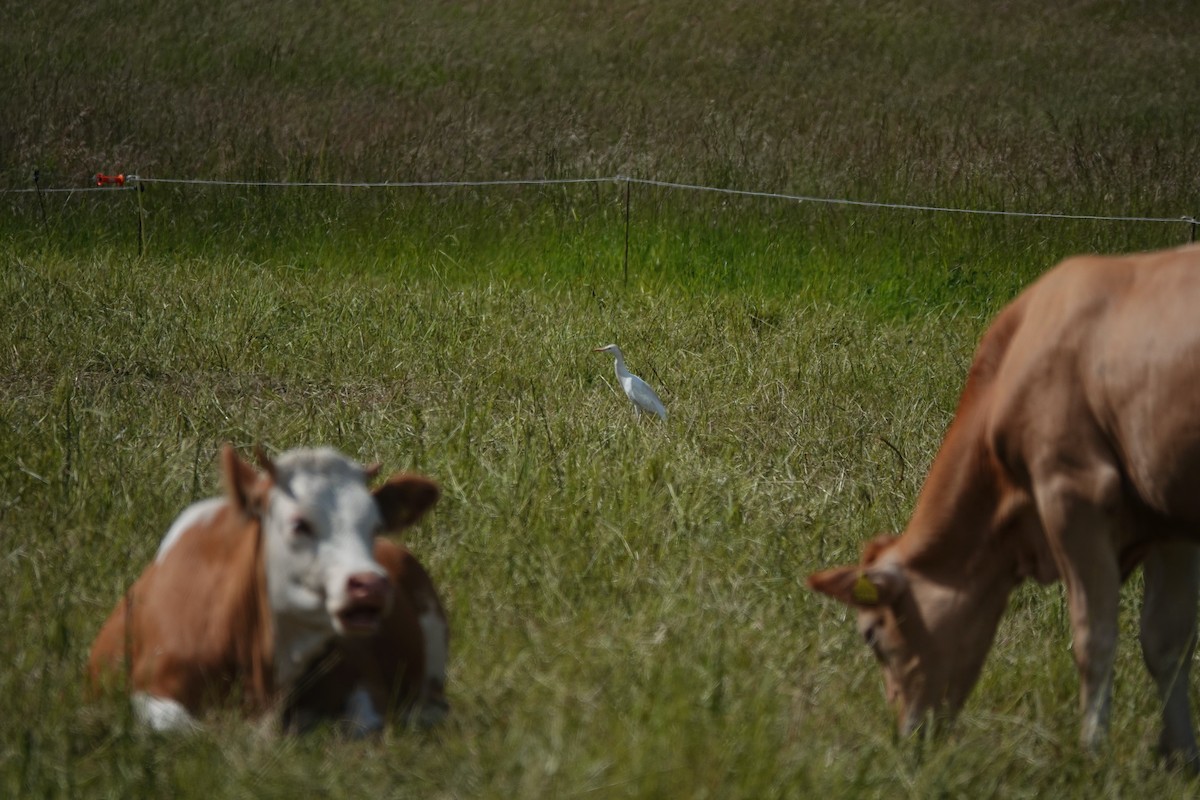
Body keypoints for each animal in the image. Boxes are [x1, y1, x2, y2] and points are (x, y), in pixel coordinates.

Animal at [811, 245, 1200, 767]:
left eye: (871, 634)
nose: (907, 739)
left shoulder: (1071, 490)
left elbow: (1093, 638)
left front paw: (1091, 755)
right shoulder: (1168, 516)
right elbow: (1166, 640)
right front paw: (1181, 756)